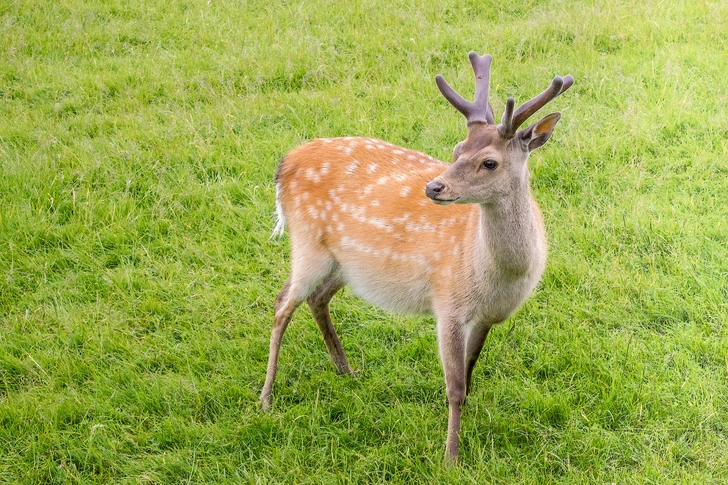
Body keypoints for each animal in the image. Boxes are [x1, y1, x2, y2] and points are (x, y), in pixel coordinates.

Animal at [262, 50, 576, 462]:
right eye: (457, 149)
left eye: (489, 162)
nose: (434, 186)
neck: (496, 276)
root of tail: (283, 164)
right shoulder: (448, 302)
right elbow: (454, 386)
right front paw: (451, 456)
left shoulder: (488, 316)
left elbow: (470, 370)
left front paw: (467, 423)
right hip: (307, 243)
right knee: (282, 304)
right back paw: (266, 397)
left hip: (343, 262)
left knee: (317, 299)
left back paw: (347, 371)